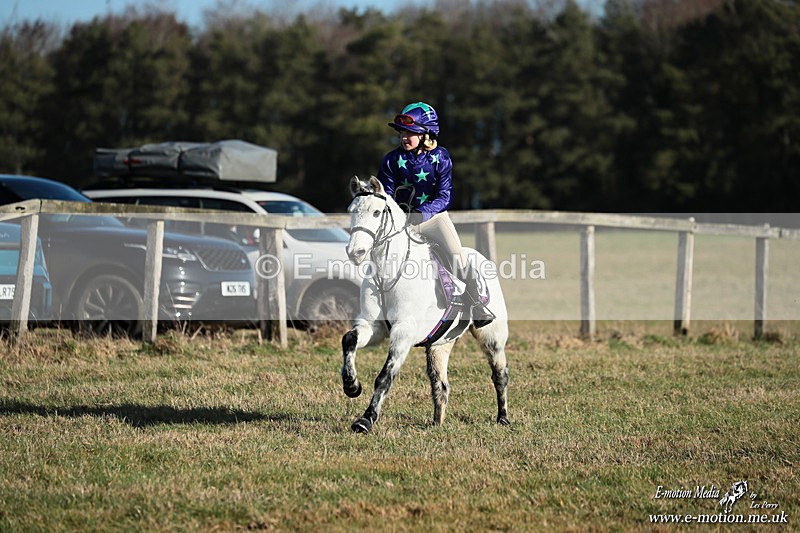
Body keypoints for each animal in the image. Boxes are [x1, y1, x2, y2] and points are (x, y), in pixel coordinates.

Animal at [340, 175, 510, 433]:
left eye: (377, 212)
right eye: (351, 210)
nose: (355, 252)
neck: (388, 274)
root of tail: (483, 259)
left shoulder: (404, 331)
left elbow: (385, 377)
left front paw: (365, 420)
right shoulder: (373, 327)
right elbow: (349, 340)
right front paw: (351, 385)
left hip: (492, 338)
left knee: (499, 375)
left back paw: (503, 418)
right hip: (440, 344)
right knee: (440, 383)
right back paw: (437, 423)